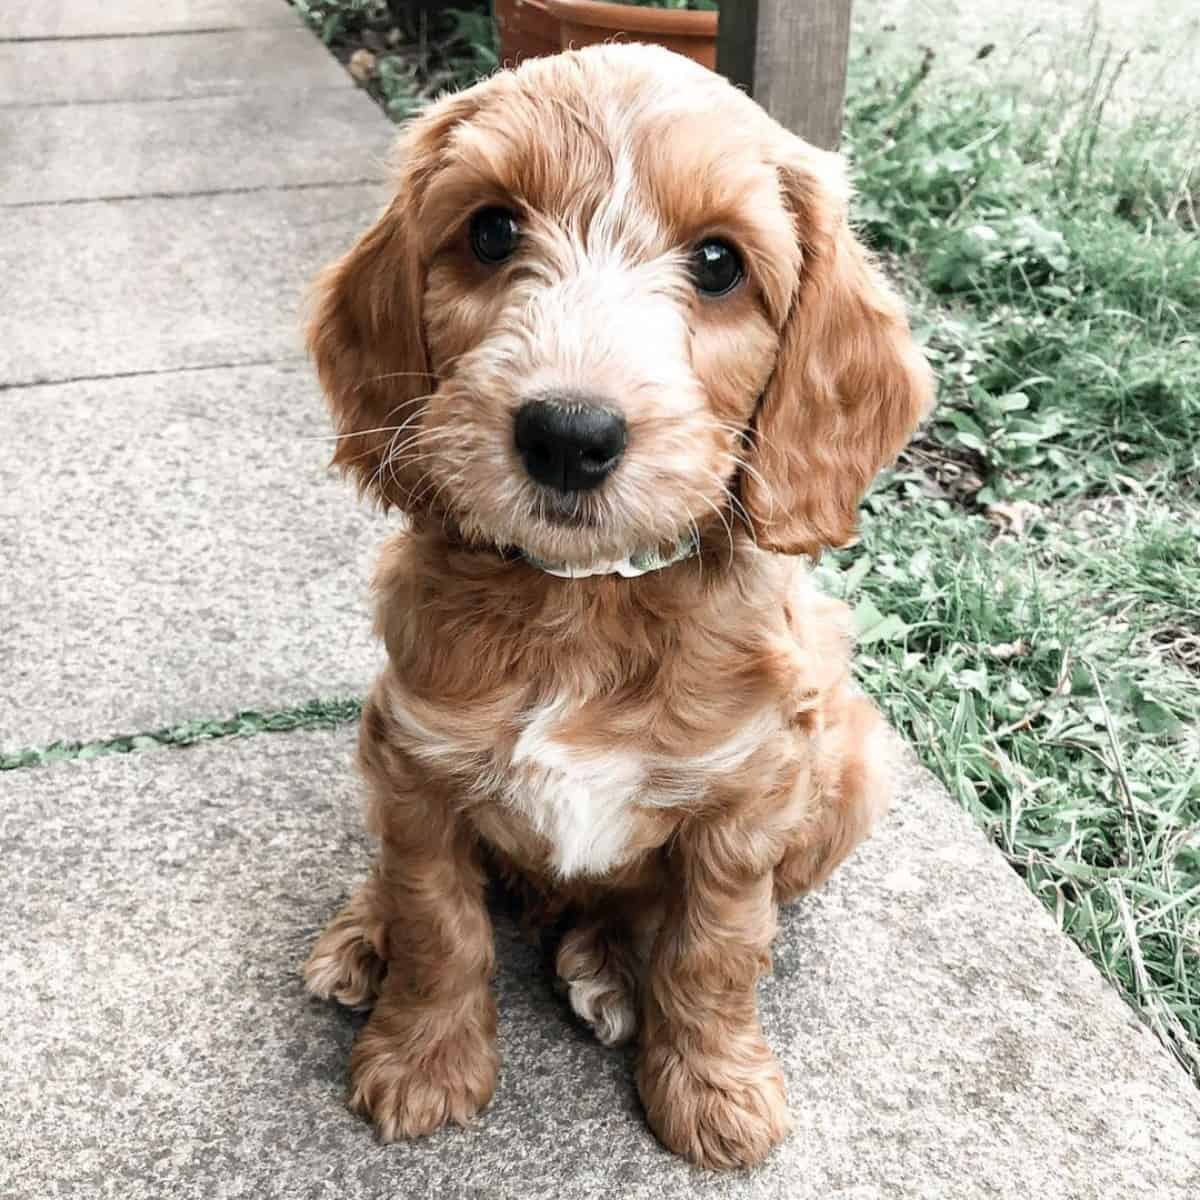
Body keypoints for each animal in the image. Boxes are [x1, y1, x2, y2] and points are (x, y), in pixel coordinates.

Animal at [304, 44, 931, 1171]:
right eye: (491, 231)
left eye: (719, 263)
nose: (567, 432)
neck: (584, 603)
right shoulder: (412, 758)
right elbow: (437, 918)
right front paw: (423, 1061)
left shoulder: (748, 796)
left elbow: (714, 949)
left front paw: (715, 1090)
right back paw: (363, 934)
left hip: (856, 765)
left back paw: (604, 962)